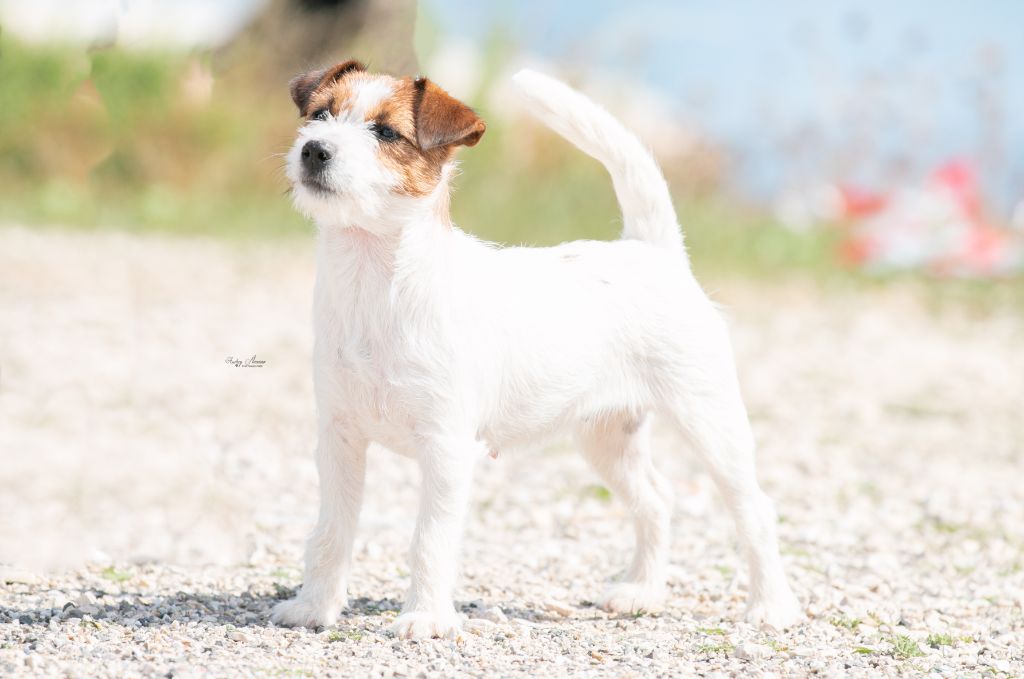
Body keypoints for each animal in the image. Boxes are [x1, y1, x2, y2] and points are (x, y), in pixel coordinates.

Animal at [268, 61, 802, 639]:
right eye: (319, 115)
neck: (373, 283)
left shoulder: (446, 448)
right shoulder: (339, 440)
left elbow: (429, 540)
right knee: (656, 502)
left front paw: (425, 618)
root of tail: (651, 251)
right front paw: (314, 606)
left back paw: (771, 606)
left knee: (755, 510)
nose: (314, 150)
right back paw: (642, 592)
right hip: (606, 438)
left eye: (386, 132)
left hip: (710, 422)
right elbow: (331, 530)